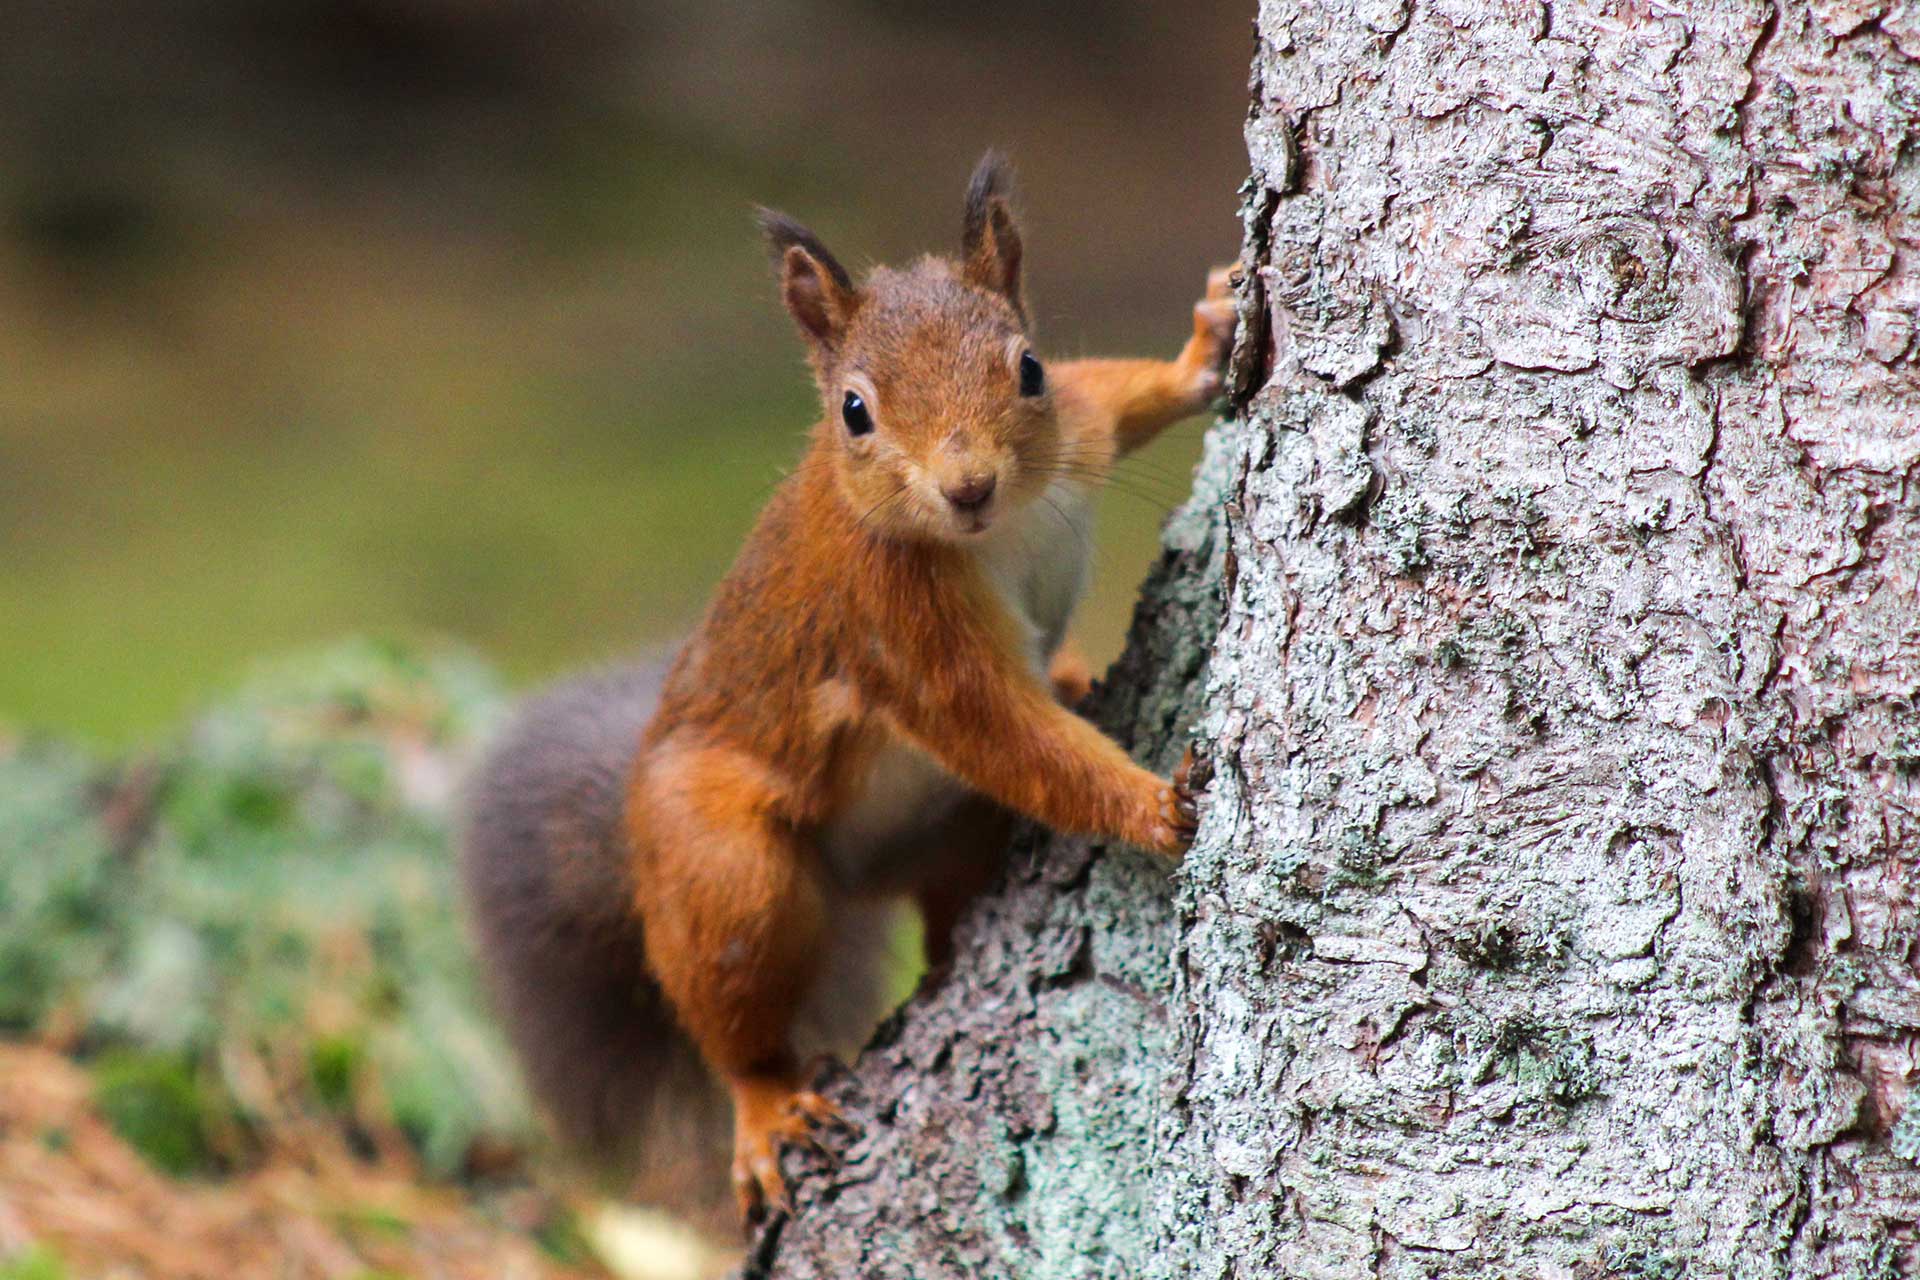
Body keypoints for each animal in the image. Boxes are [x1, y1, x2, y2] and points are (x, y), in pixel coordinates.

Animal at [460, 150, 1228, 1220]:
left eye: (1027, 367)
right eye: (854, 413)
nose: (968, 485)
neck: (996, 532)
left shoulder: (1077, 429)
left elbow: (1115, 393)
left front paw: (1207, 346)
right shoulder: (900, 631)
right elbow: (1007, 734)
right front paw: (1156, 805)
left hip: (949, 835)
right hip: (723, 868)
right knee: (732, 1007)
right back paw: (766, 1107)